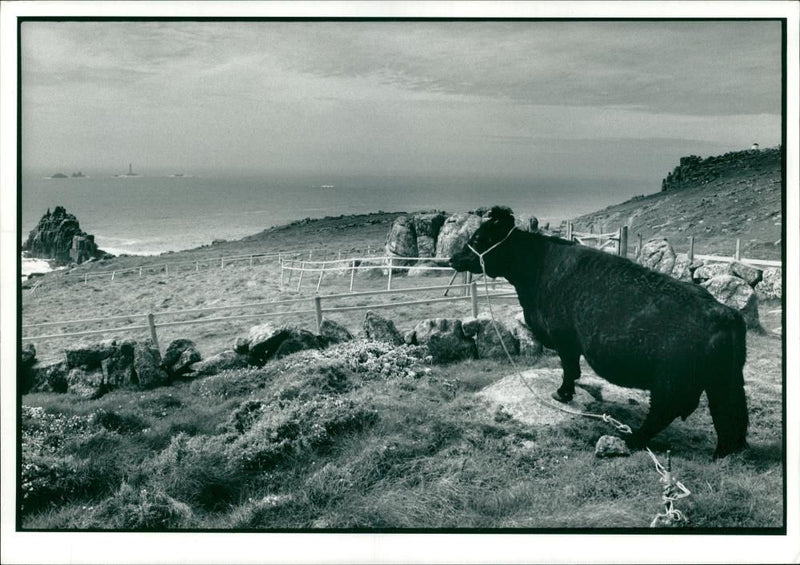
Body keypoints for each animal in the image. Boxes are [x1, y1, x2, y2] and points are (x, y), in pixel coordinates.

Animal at [446, 207, 748, 458]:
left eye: (480, 237)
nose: (452, 259)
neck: (539, 267)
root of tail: (725, 313)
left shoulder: (565, 339)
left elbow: (569, 368)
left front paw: (562, 394)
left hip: (670, 383)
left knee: (664, 413)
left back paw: (632, 439)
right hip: (723, 382)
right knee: (730, 415)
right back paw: (724, 452)